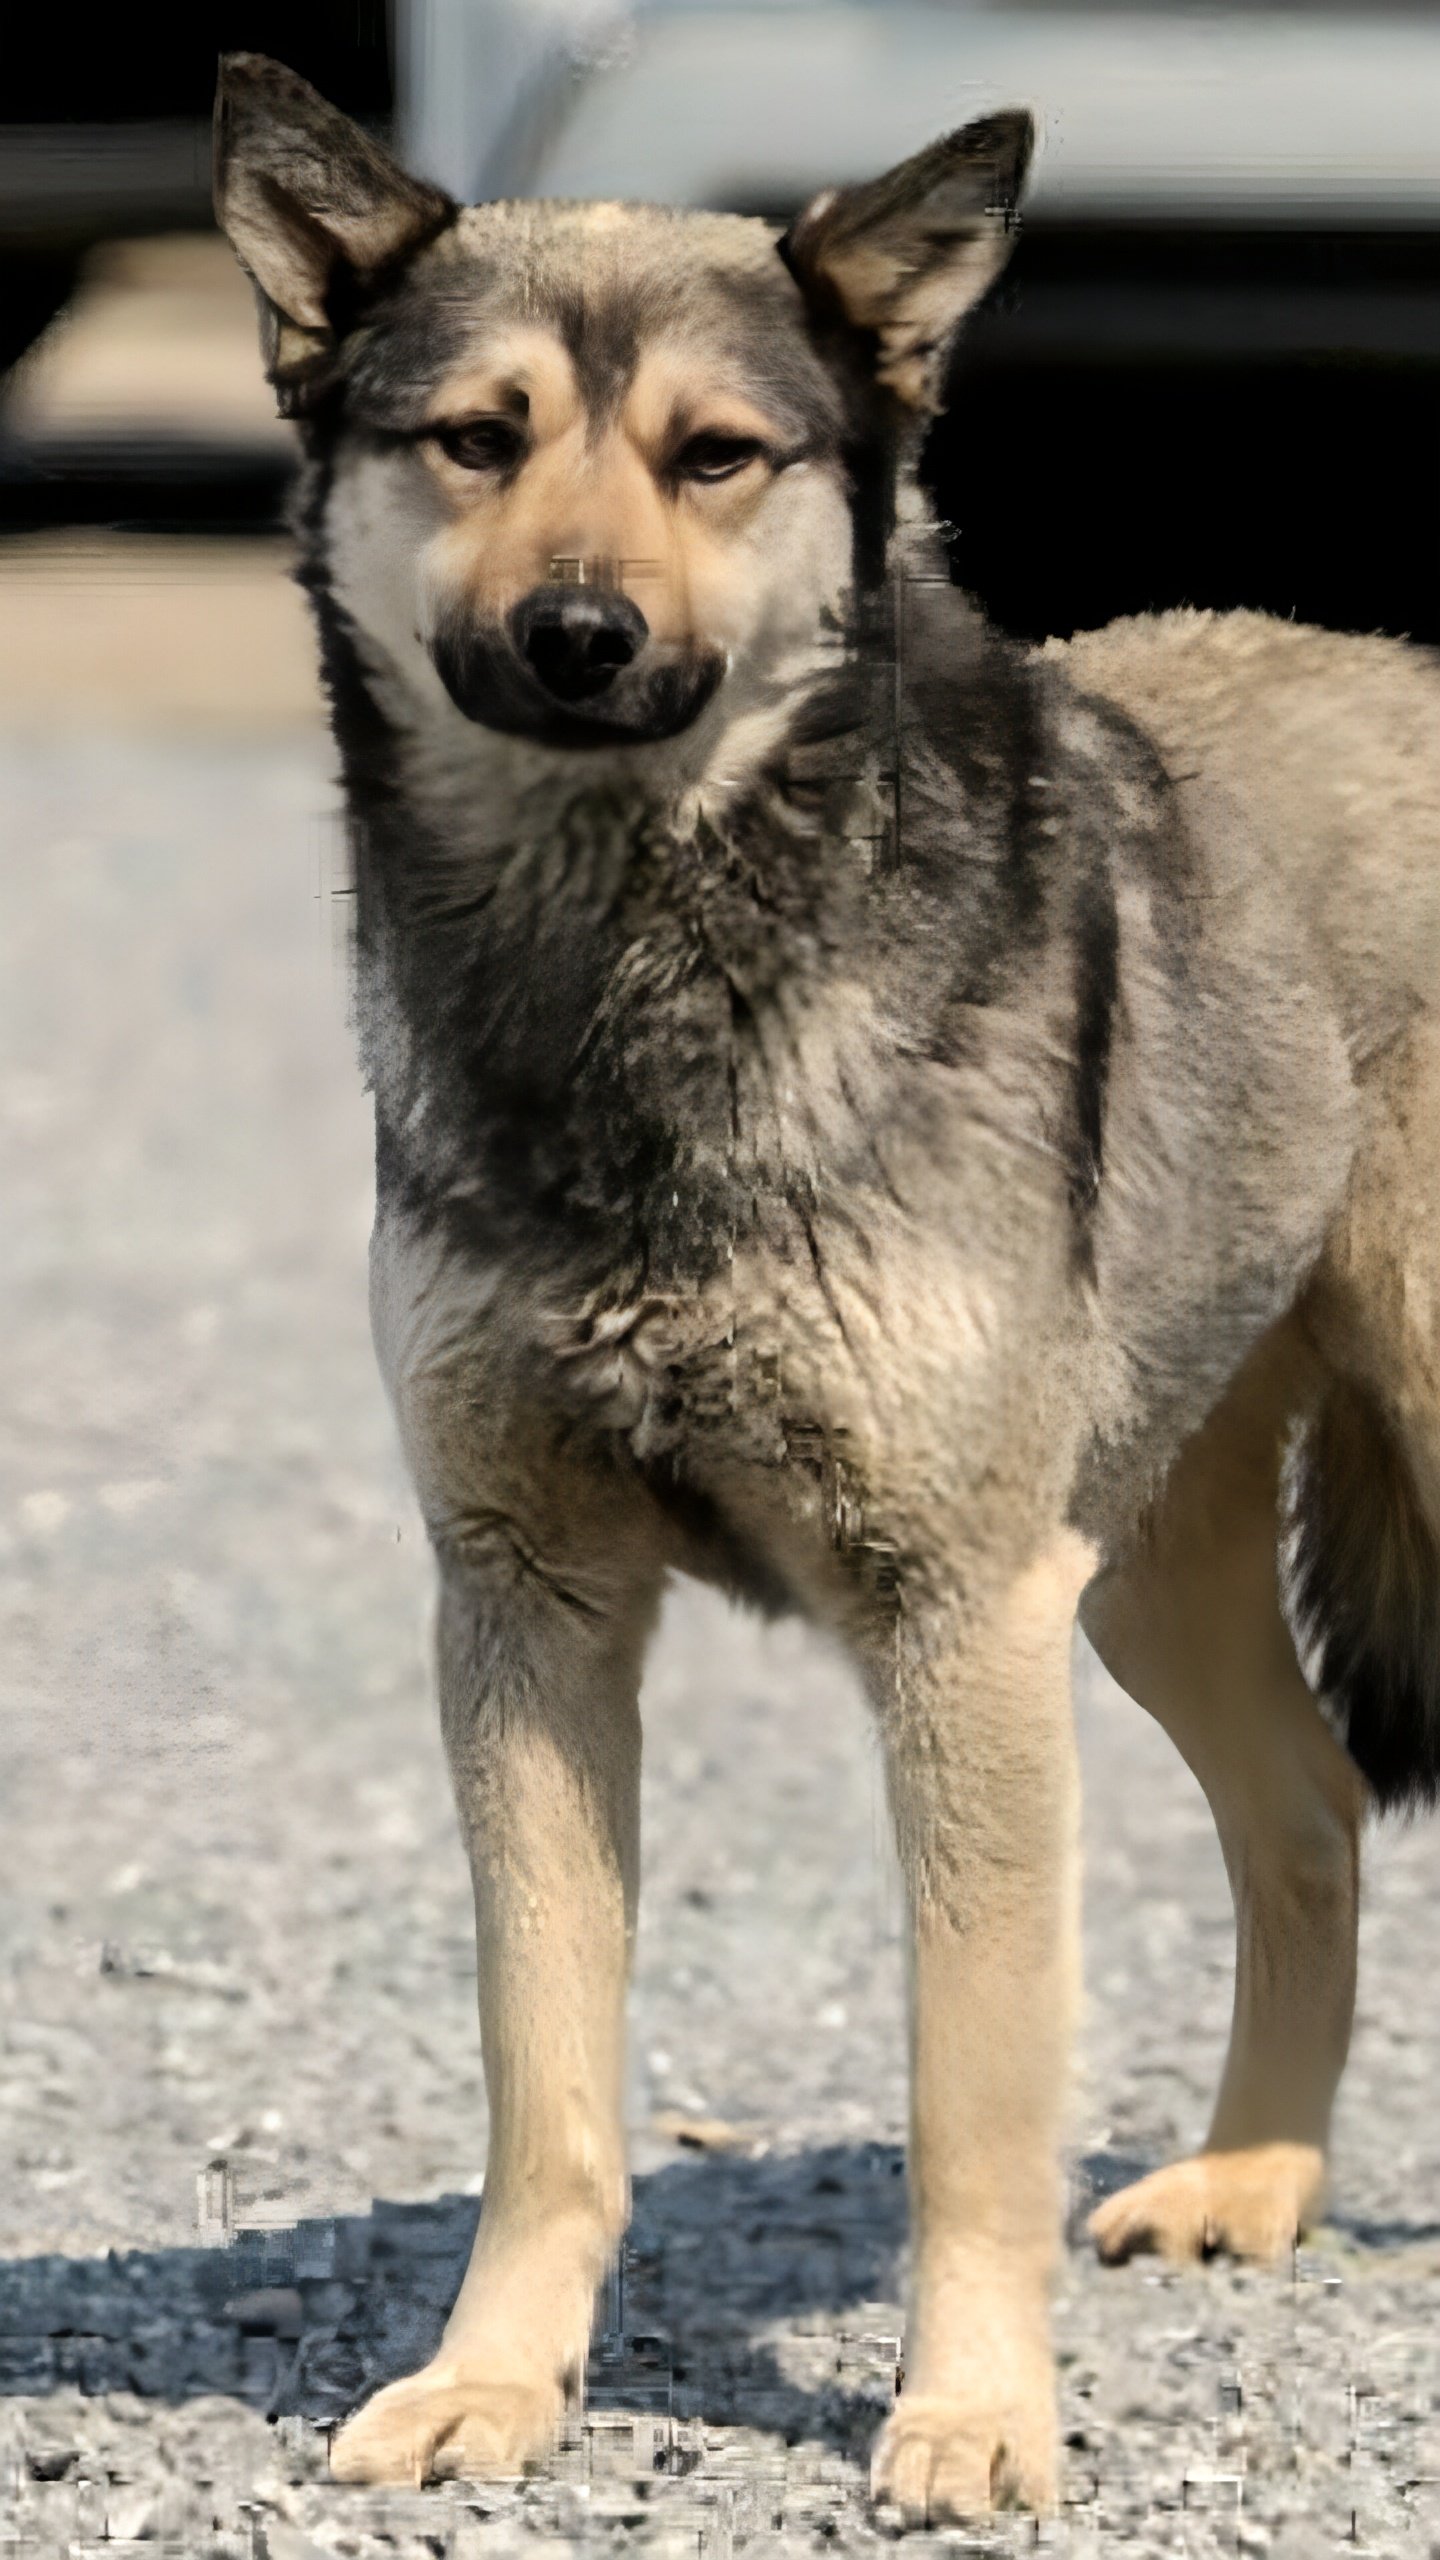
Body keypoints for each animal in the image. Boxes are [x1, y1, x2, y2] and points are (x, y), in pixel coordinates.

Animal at [212, 55, 1434, 2519]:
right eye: (473, 438)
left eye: (717, 456)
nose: (582, 635)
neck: (633, 971)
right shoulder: (528, 1606)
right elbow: (547, 2085)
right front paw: (494, 2382)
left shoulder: (957, 1624)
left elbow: (970, 2097)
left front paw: (970, 2412)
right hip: (1146, 1565)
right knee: (1310, 1811)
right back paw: (1253, 2179)